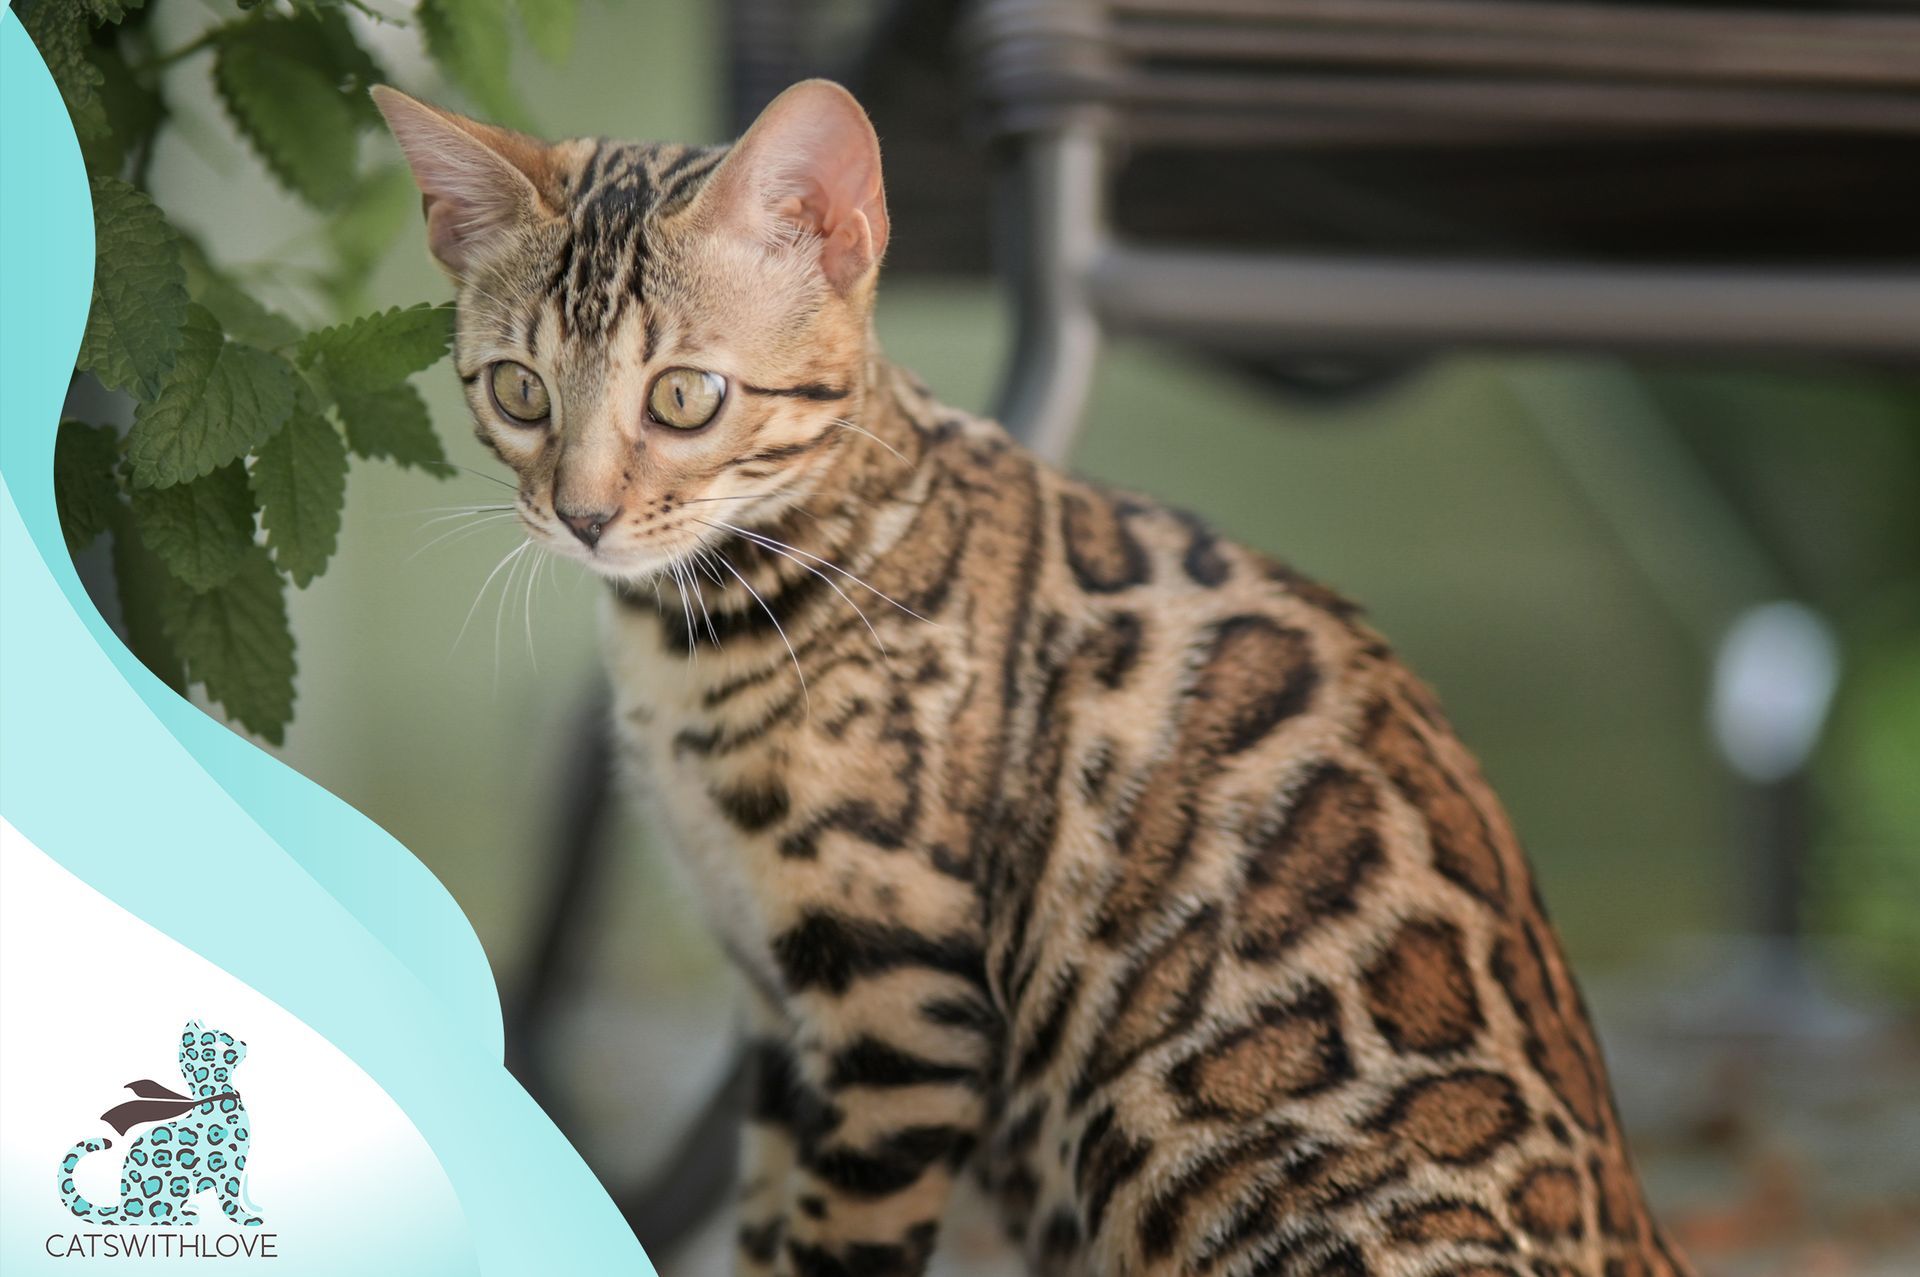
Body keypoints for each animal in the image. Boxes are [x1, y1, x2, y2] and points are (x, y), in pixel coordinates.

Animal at [378, 79, 1697, 1275]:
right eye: (519, 390)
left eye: (685, 396)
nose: (583, 516)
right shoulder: (774, 1006)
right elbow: (760, 1230)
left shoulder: (897, 990)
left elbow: (833, 1244)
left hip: (1177, 1143)